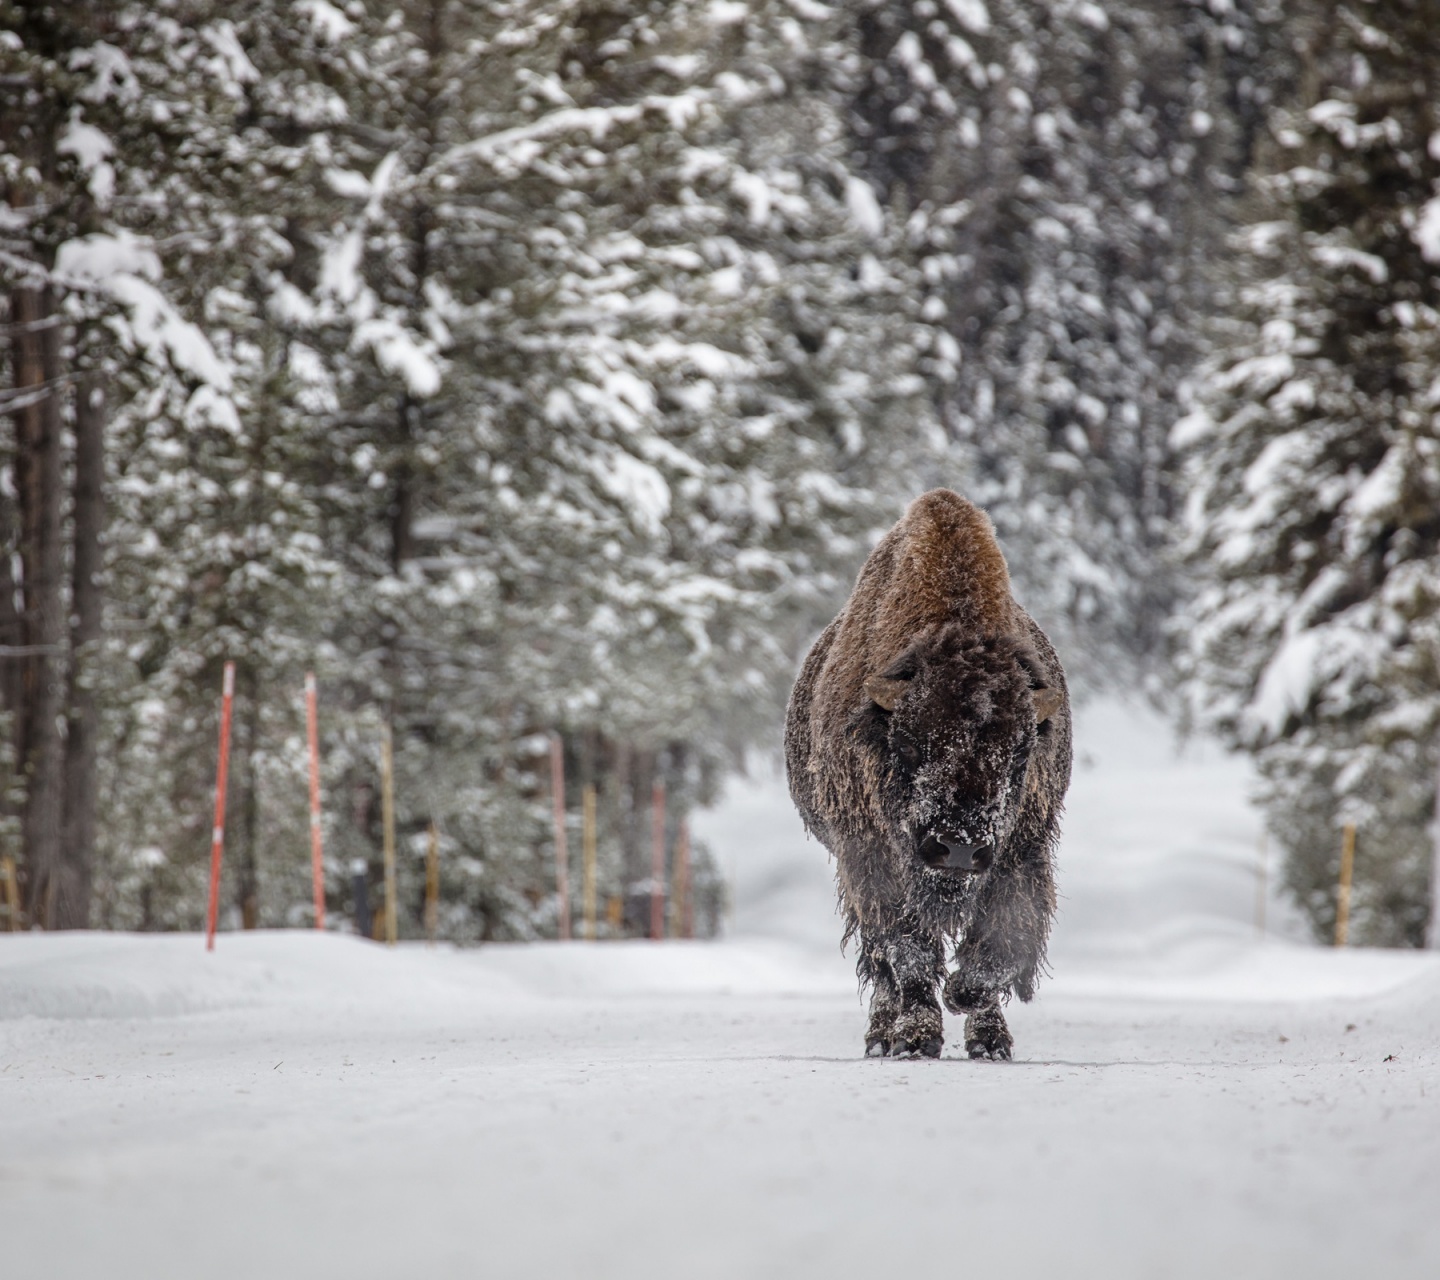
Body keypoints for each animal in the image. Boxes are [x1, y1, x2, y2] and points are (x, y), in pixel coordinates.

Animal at [789, 489, 1071, 1059]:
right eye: (908, 743)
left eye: (1021, 754)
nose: (958, 848)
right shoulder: (871, 857)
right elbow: (908, 951)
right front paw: (917, 1037)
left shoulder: (1022, 849)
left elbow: (1002, 941)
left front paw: (968, 1002)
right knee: (880, 966)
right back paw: (883, 1036)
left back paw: (987, 1038)